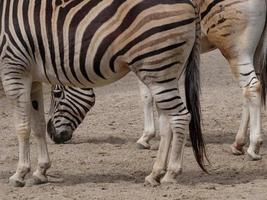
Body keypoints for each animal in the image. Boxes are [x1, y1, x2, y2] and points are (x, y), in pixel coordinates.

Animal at [0, 0, 207, 188]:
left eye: (58, 93)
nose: (54, 135)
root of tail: (190, 2)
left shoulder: (13, 69)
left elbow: (22, 127)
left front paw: (20, 173)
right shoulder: (32, 77)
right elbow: (37, 126)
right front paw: (40, 171)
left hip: (157, 67)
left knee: (180, 116)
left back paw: (171, 173)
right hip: (165, 72)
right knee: (167, 121)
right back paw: (155, 174)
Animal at [47, 0, 267, 160]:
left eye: (56, 93)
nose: (52, 134)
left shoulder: (143, 55)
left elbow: (146, 97)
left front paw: (146, 137)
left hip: (234, 47)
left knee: (252, 87)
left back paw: (253, 147)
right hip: (254, 48)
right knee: (249, 91)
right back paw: (238, 143)